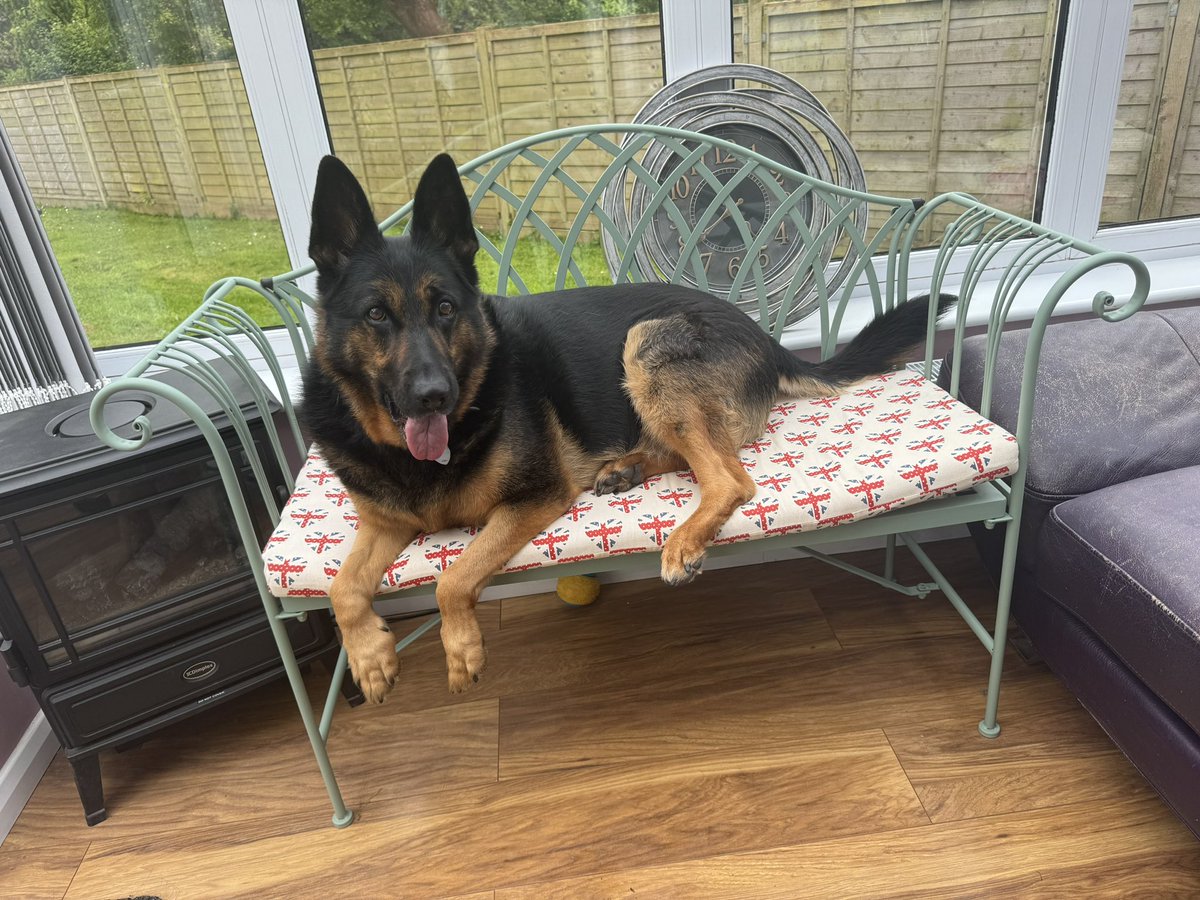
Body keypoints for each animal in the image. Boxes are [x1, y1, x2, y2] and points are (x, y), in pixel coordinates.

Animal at [302, 154, 955, 705]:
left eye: (445, 309)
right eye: (375, 315)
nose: (435, 395)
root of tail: (767, 338)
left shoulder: (532, 499)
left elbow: (450, 578)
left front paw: (460, 650)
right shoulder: (383, 522)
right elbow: (341, 589)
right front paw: (371, 658)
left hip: (644, 345)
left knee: (729, 479)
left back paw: (682, 540)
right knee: (694, 456)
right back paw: (625, 469)